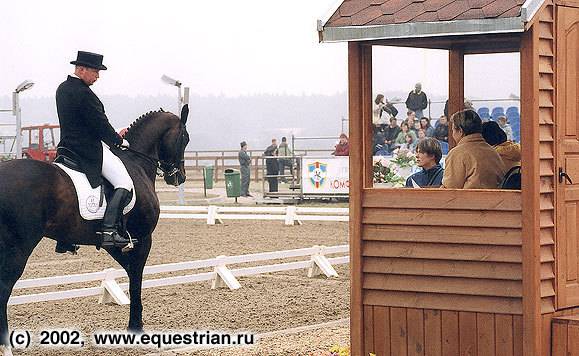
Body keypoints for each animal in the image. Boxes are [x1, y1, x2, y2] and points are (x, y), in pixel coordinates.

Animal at [0, 104, 190, 352]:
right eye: (185, 138)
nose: (179, 177)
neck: (136, 164)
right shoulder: (143, 238)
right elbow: (136, 280)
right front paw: (136, 328)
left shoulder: (115, 243)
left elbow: (130, 274)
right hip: (18, 248)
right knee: (4, 288)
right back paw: (6, 346)